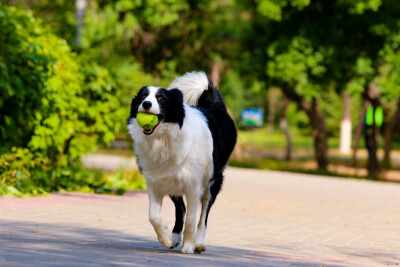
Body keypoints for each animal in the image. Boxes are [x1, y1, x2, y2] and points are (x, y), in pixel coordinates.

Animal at [126, 71, 236, 255]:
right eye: (142, 96)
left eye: (161, 98)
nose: (146, 104)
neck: (164, 138)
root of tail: (215, 104)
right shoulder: (155, 181)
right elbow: (153, 216)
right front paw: (165, 238)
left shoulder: (194, 185)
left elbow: (192, 219)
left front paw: (188, 246)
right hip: (172, 179)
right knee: (181, 208)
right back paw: (175, 237)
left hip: (213, 181)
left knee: (203, 215)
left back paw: (199, 243)